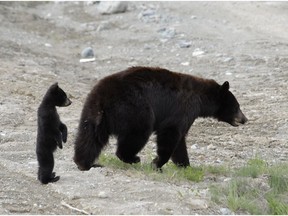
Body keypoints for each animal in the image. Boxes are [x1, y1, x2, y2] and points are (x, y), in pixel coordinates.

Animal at [73, 66, 246, 171]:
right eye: (237, 106)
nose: (244, 119)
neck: (201, 99)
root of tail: (104, 98)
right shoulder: (183, 109)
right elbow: (170, 133)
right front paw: (157, 163)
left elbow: (180, 141)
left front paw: (185, 165)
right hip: (136, 109)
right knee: (138, 134)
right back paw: (132, 158)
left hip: (92, 112)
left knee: (89, 137)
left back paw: (85, 163)